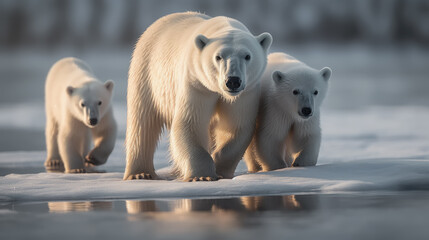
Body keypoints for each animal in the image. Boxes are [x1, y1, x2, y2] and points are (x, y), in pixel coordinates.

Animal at [123, 11, 270, 180]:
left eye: (247, 56)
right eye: (218, 56)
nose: (233, 81)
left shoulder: (245, 93)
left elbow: (237, 126)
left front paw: (220, 170)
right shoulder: (196, 83)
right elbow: (190, 123)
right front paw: (202, 176)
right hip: (146, 73)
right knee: (142, 121)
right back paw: (140, 173)